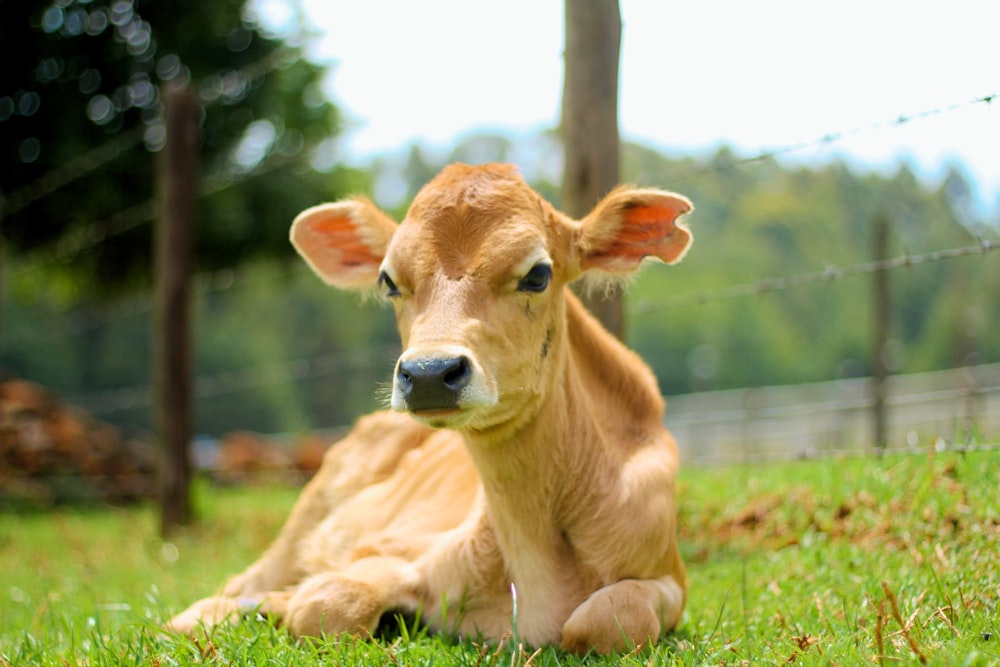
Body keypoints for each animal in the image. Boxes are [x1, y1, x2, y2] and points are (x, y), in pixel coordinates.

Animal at [166, 162, 696, 652]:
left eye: (538, 274)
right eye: (387, 280)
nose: (427, 373)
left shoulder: (669, 579)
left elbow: (611, 618)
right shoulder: (388, 548)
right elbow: (331, 603)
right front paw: (281, 606)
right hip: (303, 519)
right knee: (227, 591)